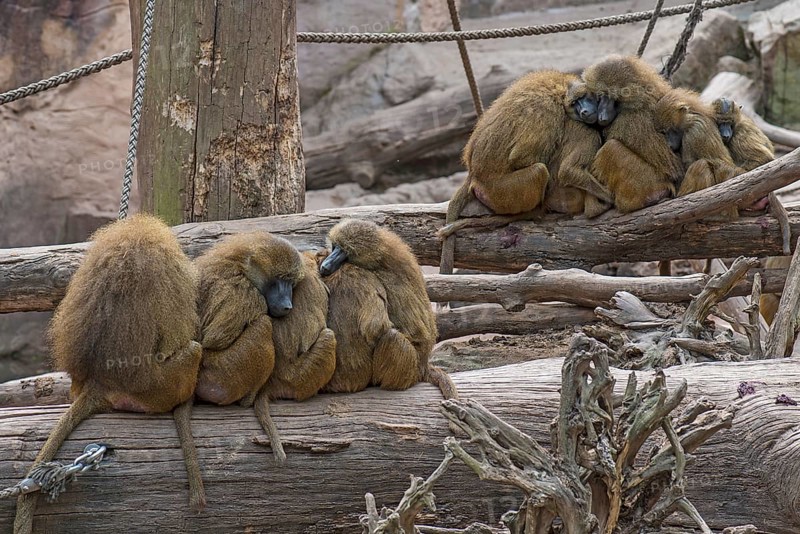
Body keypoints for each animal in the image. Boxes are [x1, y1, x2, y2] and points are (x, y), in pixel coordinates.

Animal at [15, 214, 204, 534]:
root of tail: (100, 384)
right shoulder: (175, 275)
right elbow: (179, 335)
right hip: (161, 390)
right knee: (193, 349)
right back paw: (185, 403)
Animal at [193, 231, 305, 465]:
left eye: (290, 282)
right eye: (279, 280)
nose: (287, 305)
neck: (240, 266)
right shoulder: (249, 296)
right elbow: (216, 340)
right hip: (224, 373)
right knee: (263, 325)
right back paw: (248, 399)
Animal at [319, 219, 458, 401]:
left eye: (345, 253)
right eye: (335, 247)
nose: (325, 265)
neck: (381, 254)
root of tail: (423, 366)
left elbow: (376, 328)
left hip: (409, 370)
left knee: (392, 338)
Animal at [439, 70, 614, 274]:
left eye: (586, 98)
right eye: (575, 103)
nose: (585, 111)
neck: (560, 88)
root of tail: (474, 174)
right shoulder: (551, 113)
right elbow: (523, 158)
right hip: (502, 191)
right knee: (539, 171)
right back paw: (532, 212)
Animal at [582, 55, 685, 213]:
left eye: (611, 97)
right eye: (600, 96)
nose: (602, 115)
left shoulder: (624, 121)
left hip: (648, 183)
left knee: (610, 148)